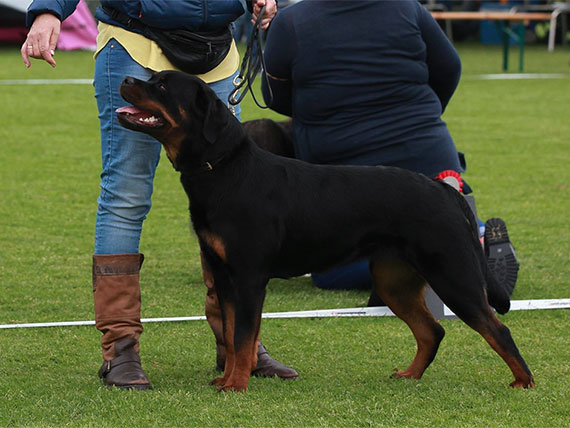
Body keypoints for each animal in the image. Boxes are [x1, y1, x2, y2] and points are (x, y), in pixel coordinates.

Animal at [115, 70, 532, 392]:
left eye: (162, 86)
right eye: (152, 79)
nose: (127, 79)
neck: (223, 169)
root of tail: (444, 189)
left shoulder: (248, 276)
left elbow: (244, 335)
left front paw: (236, 384)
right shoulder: (223, 273)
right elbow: (231, 334)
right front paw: (228, 378)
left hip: (452, 273)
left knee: (497, 328)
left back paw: (522, 381)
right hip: (394, 280)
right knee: (432, 331)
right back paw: (410, 374)